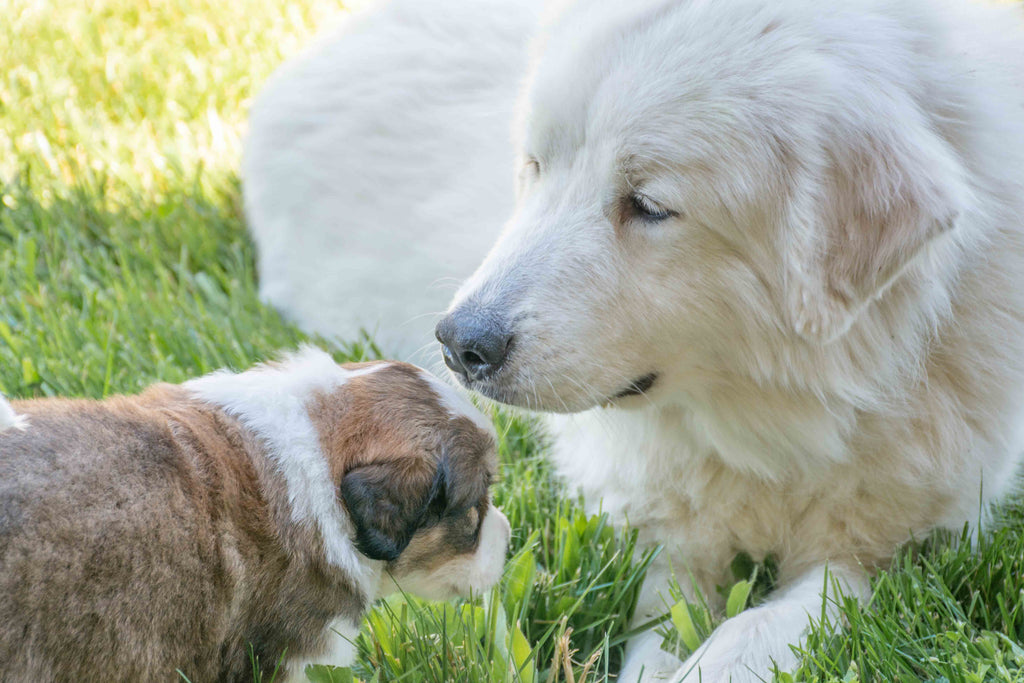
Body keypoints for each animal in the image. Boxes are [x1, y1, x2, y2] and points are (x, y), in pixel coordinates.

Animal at [245, 0, 1024, 679]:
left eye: (648, 206)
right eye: (535, 168)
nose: (457, 344)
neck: (778, 421)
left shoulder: (899, 552)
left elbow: (775, 617)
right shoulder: (660, 527)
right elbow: (661, 622)